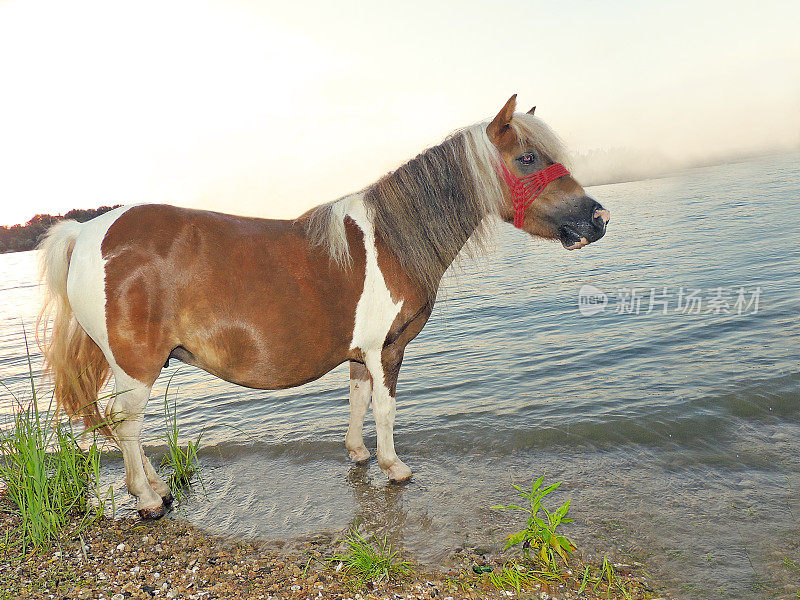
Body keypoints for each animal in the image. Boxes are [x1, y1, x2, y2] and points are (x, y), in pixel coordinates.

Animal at [37, 96, 608, 516]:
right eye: (528, 158)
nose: (597, 218)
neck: (392, 240)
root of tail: (86, 232)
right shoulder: (387, 350)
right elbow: (385, 407)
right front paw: (394, 467)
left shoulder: (360, 353)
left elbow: (357, 401)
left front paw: (358, 455)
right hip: (136, 364)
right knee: (127, 425)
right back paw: (148, 499)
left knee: (127, 426)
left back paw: (155, 487)